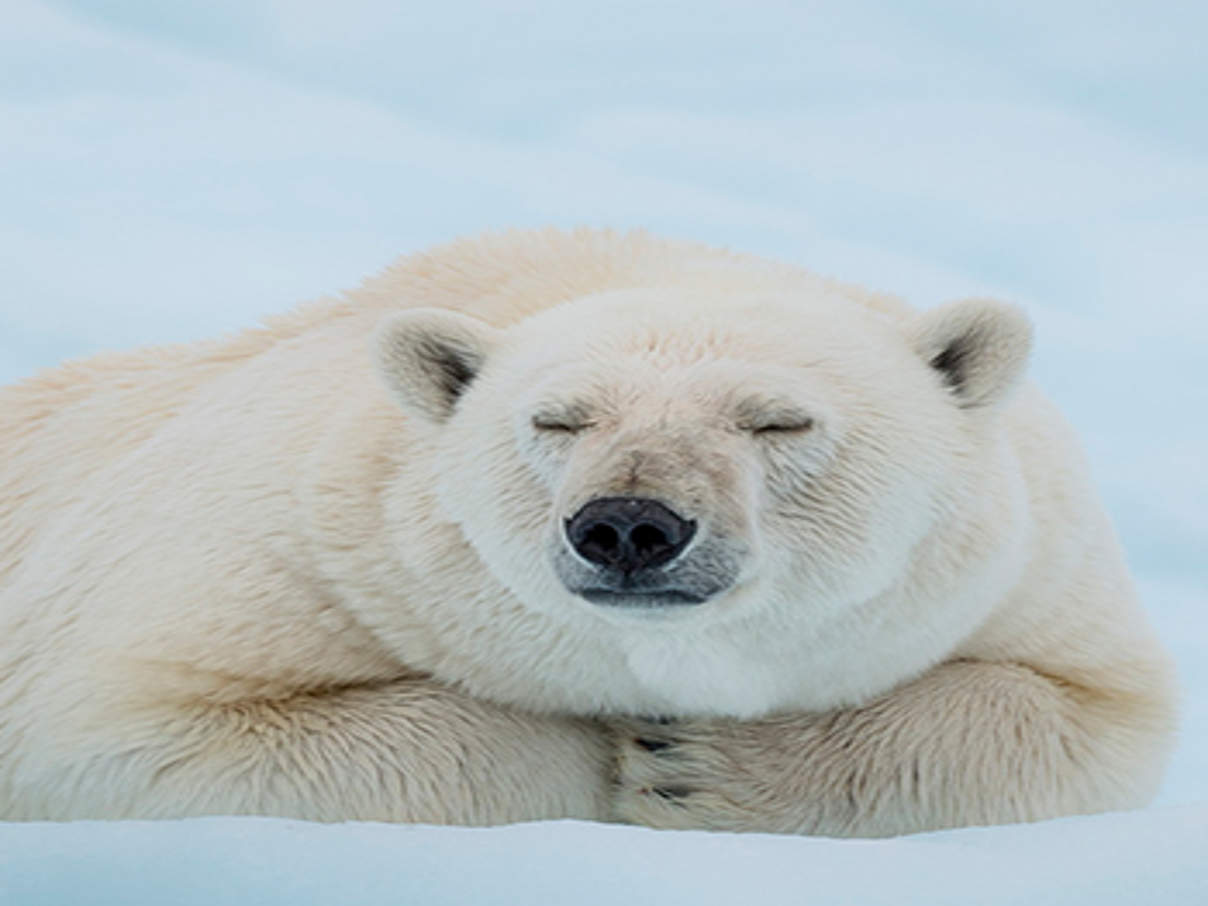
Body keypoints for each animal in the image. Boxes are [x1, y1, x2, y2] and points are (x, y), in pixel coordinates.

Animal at [0, 228, 1174, 835]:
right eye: (556, 420)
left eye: (777, 419)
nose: (628, 525)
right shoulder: (294, 535)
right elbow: (110, 730)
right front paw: (610, 755)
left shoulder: (1034, 561)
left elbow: (1085, 720)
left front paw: (692, 767)